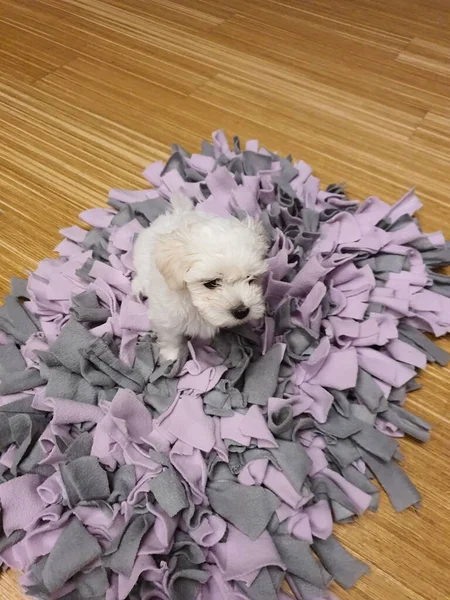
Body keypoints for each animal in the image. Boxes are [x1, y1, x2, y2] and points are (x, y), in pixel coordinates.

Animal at [132, 193, 268, 360]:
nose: (241, 311)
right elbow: (171, 337)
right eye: (211, 283)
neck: (192, 302)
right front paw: (171, 355)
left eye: (250, 278)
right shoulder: (166, 317)